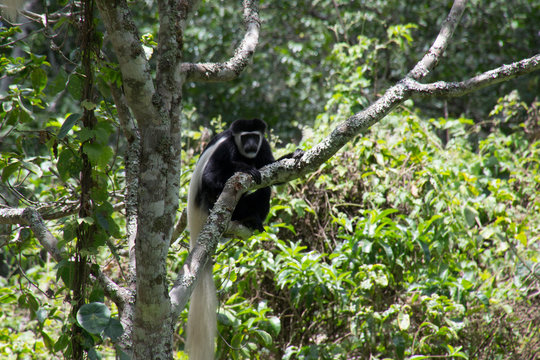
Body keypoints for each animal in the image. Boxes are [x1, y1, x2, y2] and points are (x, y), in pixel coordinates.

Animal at [188, 118, 276, 360]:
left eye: (255, 136)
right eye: (245, 137)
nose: (251, 145)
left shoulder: (264, 146)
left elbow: (272, 167)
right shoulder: (226, 148)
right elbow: (210, 176)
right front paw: (246, 168)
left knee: (265, 191)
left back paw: (253, 220)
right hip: (212, 202)